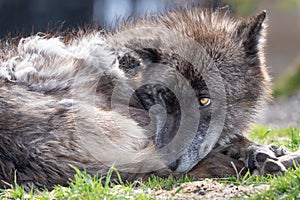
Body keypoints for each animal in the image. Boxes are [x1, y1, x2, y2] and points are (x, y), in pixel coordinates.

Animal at [0, 7, 300, 190]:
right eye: (162, 98)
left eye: (204, 101)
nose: (171, 161)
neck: (129, 70)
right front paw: (261, 153)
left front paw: (268, 151)